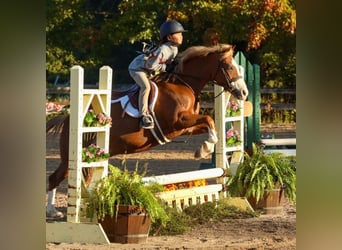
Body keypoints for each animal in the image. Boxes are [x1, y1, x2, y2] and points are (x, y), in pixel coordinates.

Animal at [46, 43, 248, 217]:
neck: (183, 84)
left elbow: (209, 124)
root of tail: (69, 116)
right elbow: (209, 119)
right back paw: (52, 211)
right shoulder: (178, 122)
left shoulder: (183, 128)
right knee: (55, 178)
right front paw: (205, 149)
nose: (244, 93)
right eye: (229, 67)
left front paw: (204, 148)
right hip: (74, 156)